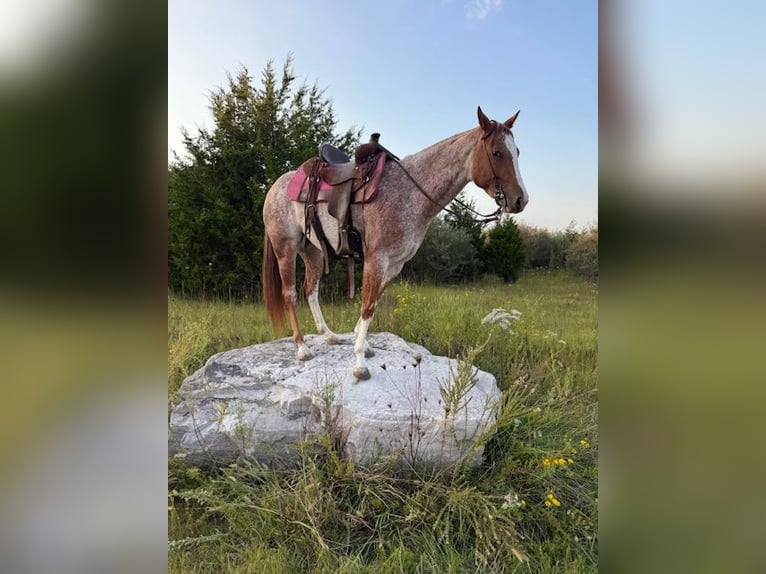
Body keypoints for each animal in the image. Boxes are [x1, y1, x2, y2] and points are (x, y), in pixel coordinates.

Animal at [262, 106, 528, 380]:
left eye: (516, 152)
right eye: (497, 153)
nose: (520, 200)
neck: (409, 193)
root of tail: (275, 186)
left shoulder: (395, 264)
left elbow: (374, 303)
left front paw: (364, 345)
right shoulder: (376, 259)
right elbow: (367, 306)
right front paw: (360, 363)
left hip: (313, 252)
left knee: (310, 290)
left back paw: (329, 335)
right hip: (286, 249)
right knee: (290, 294)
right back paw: (302, 347)